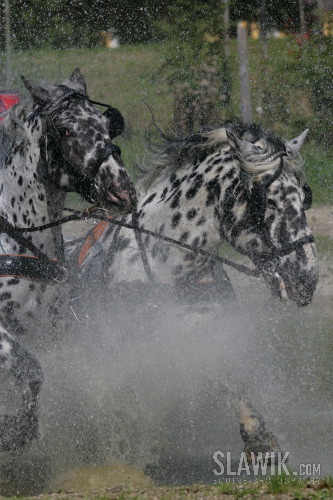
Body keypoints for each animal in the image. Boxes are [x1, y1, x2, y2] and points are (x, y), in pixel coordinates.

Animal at [0, 68, 136, 452]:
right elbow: (31, 369)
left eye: (106, 124)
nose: (122, 190)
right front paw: (12, 430)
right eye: (64, 130)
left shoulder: (53, 330)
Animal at [67, 121, 316, 460]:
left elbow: (224, 371)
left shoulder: (199, 329)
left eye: (305, 198)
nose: (307, 278)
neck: (166, 268)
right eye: (268, 200)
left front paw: (259, 437)